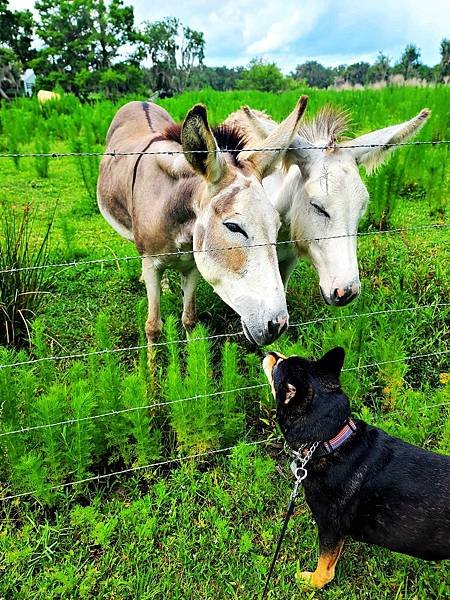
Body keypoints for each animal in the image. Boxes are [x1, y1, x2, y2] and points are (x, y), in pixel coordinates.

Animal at [264, 350, 450, 588]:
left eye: (278, 366)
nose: (271, 352)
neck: (332, 440)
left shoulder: (329, 526)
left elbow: (325, 567)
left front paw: (312, 582)